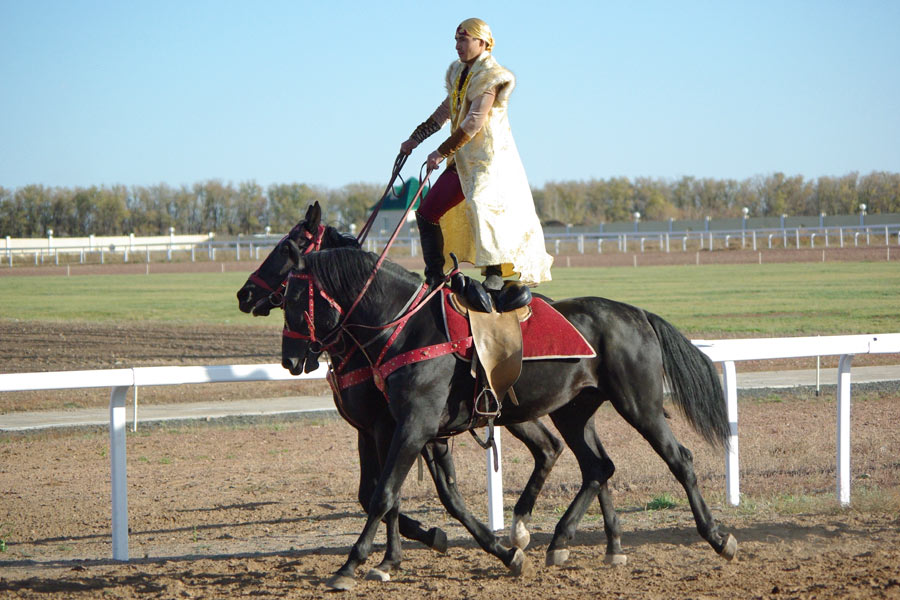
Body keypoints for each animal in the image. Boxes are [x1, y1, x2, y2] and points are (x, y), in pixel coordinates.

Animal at [236, 204, 568, 580]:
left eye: (288, 245)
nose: (245, 294)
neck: (389, 332)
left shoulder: (399, 427)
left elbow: (389, 494)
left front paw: (401, 549)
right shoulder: (374, 431)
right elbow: (383, 493)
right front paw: (405, 549)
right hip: (512, 412)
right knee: (550, 447)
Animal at [284, 245, 740, 592]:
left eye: (294, 298)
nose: (291, 358)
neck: (408, 331)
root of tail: (637, 313)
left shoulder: (413, 426)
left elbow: (384, 495)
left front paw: (350, 565)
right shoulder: (405, 430)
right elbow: (419, 496)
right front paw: (499, 551)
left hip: (638, 405)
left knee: (679, 459)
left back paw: (717, 536)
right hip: (573, 412)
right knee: (596, 466)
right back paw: (557, 539)